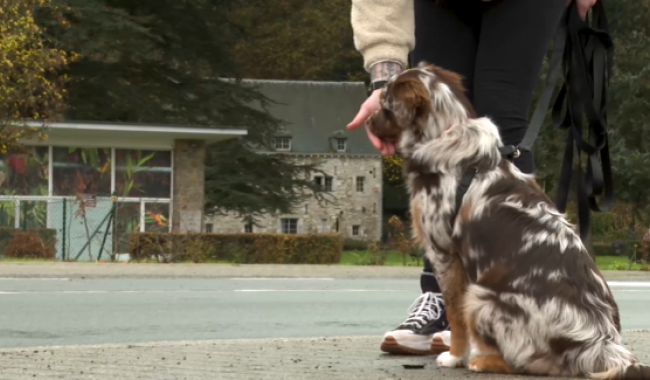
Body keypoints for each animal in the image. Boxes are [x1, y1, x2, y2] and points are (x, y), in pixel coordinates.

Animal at [364, 60, 648, 378]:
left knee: (525, 363)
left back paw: (482, 360)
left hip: (481, 295)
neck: (445, 137)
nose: (369, 119)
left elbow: (455, 315)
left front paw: (454, 356)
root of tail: (600, 345)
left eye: (385, 103)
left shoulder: (444, 255)